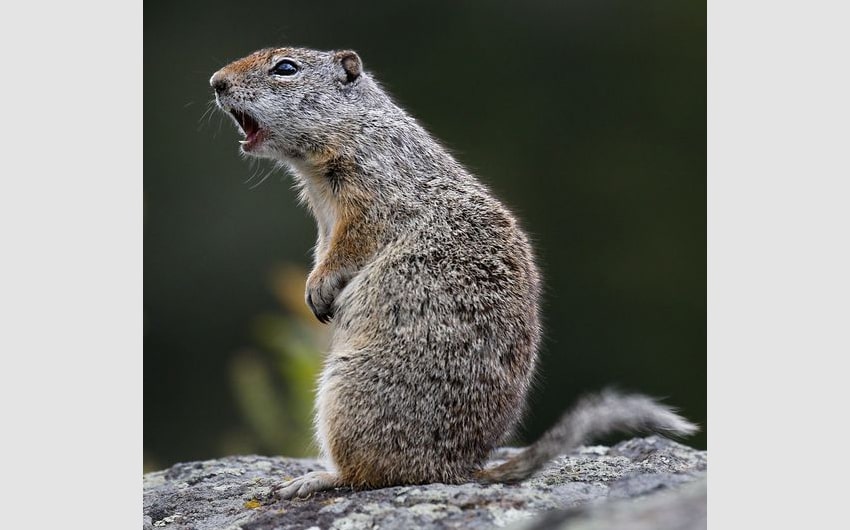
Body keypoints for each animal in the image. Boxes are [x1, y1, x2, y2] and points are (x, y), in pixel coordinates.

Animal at [207, 47, 696, 498]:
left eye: (285, 68)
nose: (216, 82)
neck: (353, 130)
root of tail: (457, 469)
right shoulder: (324, 221)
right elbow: (323, 250)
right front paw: (314, 290)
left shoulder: (370, 198)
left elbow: (349, 246)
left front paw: (320, 286)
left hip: (347, 393)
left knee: (367, 474)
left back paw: (313, 479)